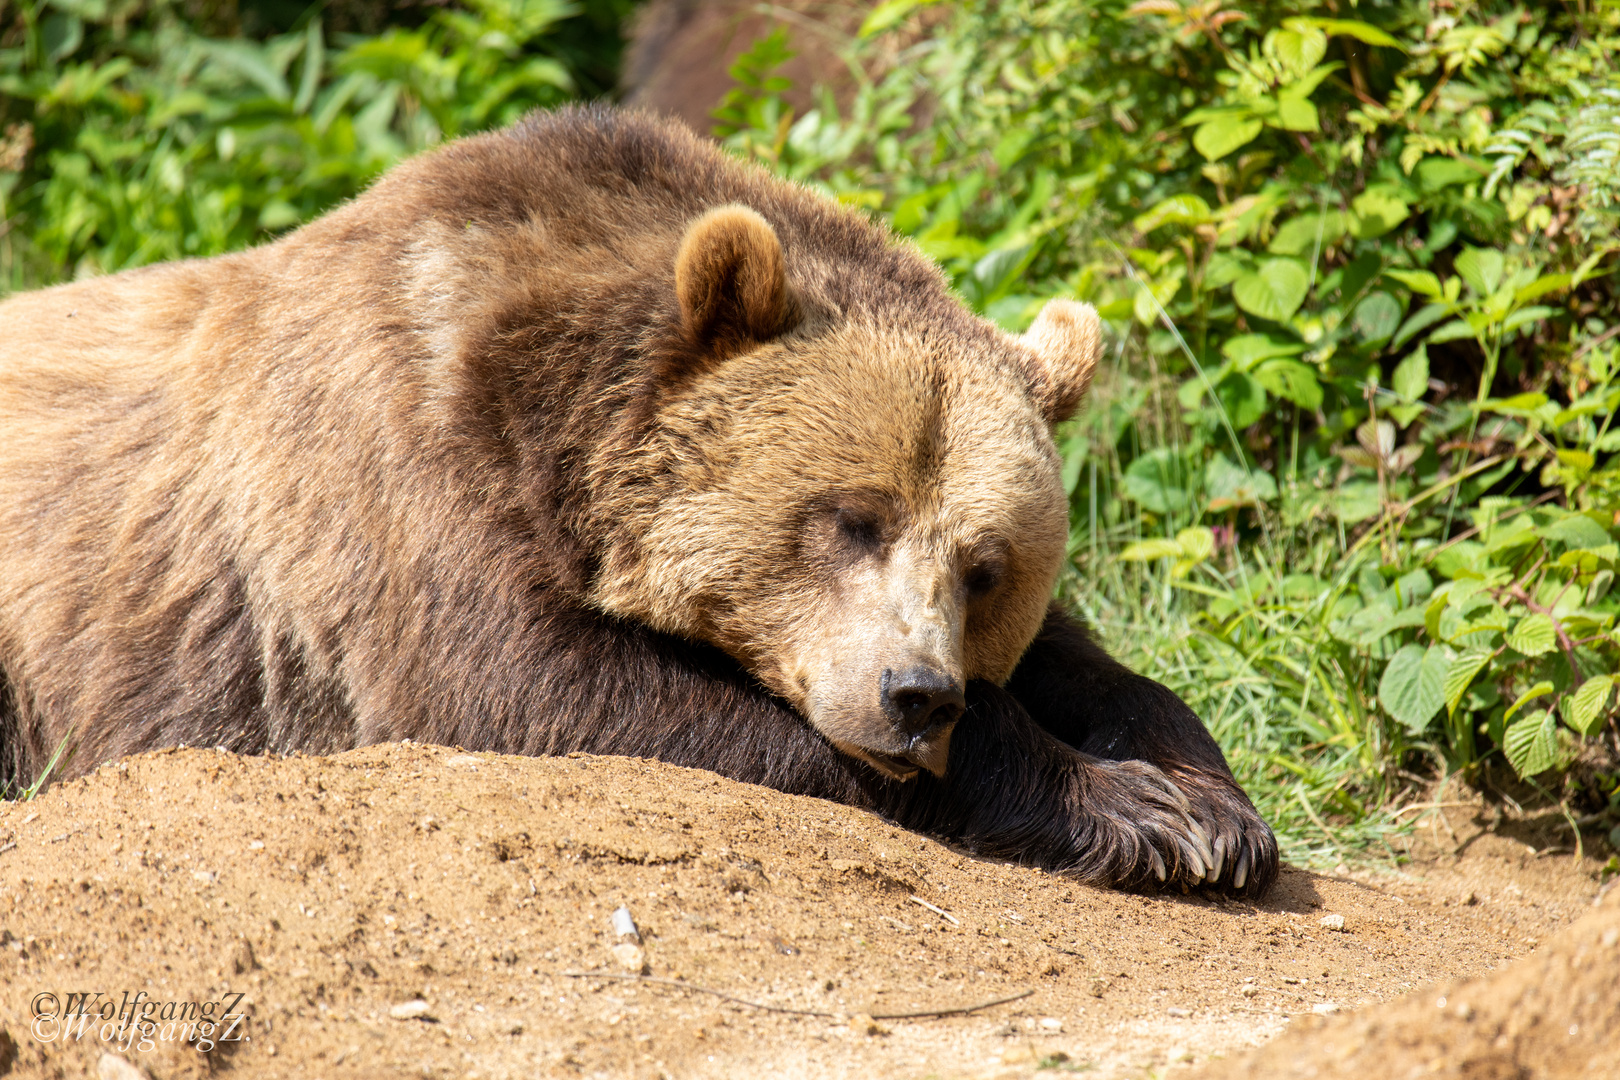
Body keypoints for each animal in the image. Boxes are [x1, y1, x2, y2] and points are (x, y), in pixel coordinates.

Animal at [0, 103, 1276, 893]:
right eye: (849, 517)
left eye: (985, 566)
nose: (918, 694)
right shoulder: (403, 477)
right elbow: (547, 687)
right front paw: (1136, 813)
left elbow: (1093, 665)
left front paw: (1210, 806)